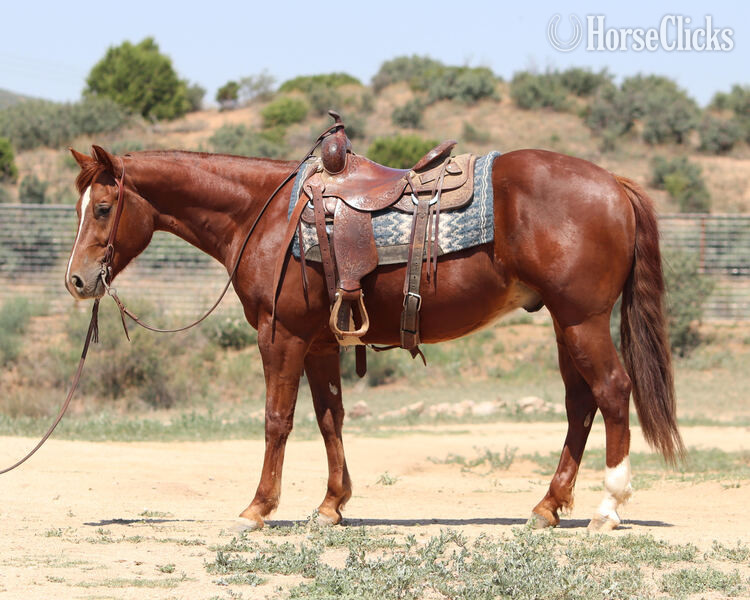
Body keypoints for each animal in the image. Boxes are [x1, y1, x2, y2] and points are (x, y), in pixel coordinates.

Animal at [64, 142, 684, 532]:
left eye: (103, 208)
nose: (77, 280)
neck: (263, 216)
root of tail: (614, 184)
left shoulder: (281, 336)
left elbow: (276, 420)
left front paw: (259, 508)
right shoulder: (319, 343)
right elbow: (330, 419)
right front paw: (331, 505)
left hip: (581, 320)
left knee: (612, 391)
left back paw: (607, 508)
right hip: (562, 322)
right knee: (581, 403)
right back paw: (548, 506)